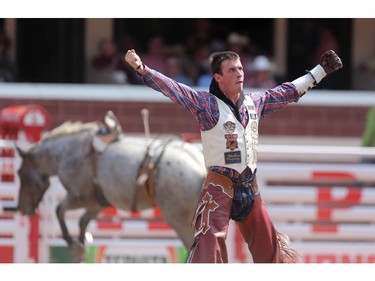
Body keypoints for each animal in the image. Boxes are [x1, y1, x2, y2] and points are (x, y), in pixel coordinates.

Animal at [16, 121, 207, 262]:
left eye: (20, 173)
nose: (22, 208)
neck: (67, 153)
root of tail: (201, 170)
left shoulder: (80, 197)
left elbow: (59, 211)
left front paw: (75, 246)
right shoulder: (97, 204)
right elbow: (82, 222)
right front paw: (81, 246)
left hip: (179, 220)